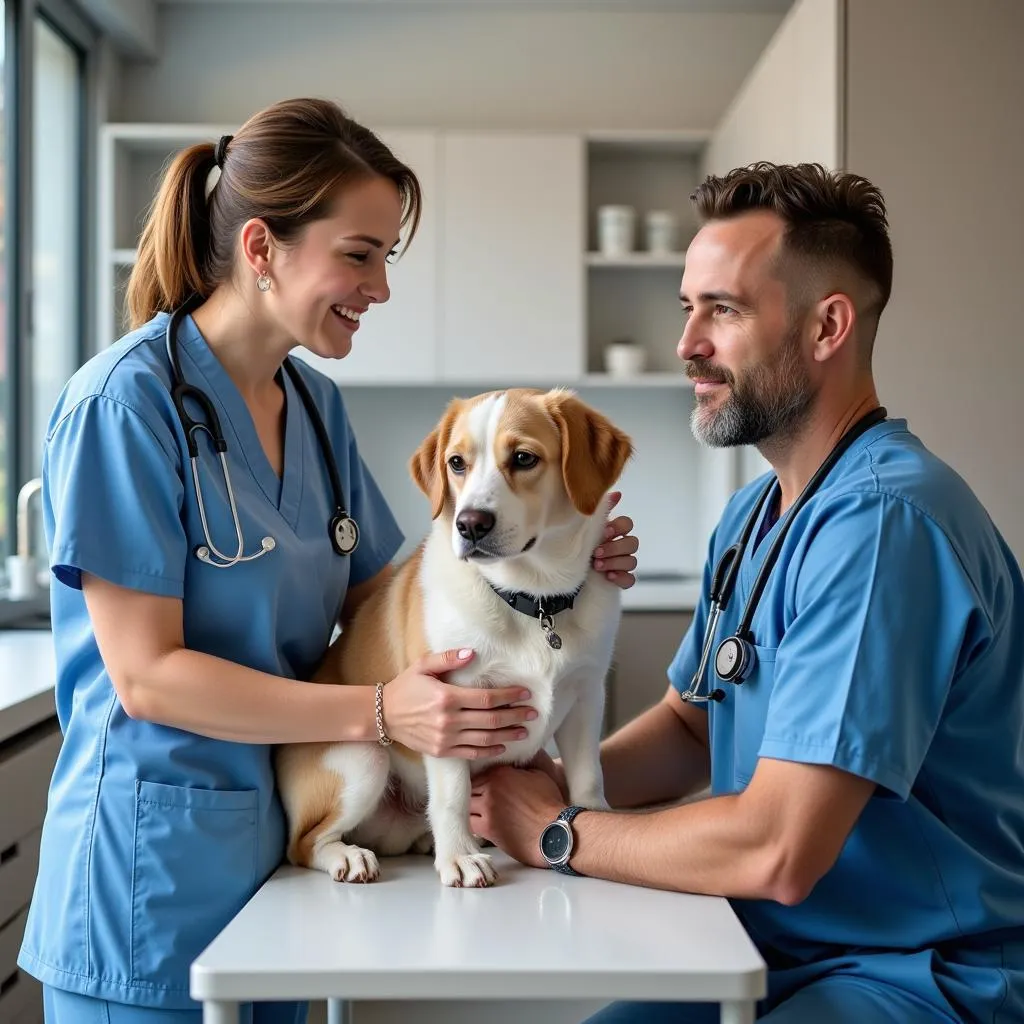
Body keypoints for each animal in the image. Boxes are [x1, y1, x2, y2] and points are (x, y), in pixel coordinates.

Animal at [276, 387, 634, 884]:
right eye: (457, 463)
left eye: (523, 458)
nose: (470, 524)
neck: (531, 599)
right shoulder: (450, 707)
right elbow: (452, 796)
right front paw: (459, 858)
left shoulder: (586, 697)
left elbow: (587, 775)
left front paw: (595, 817)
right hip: (364, 759)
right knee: (303, 843)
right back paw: (349, 856)